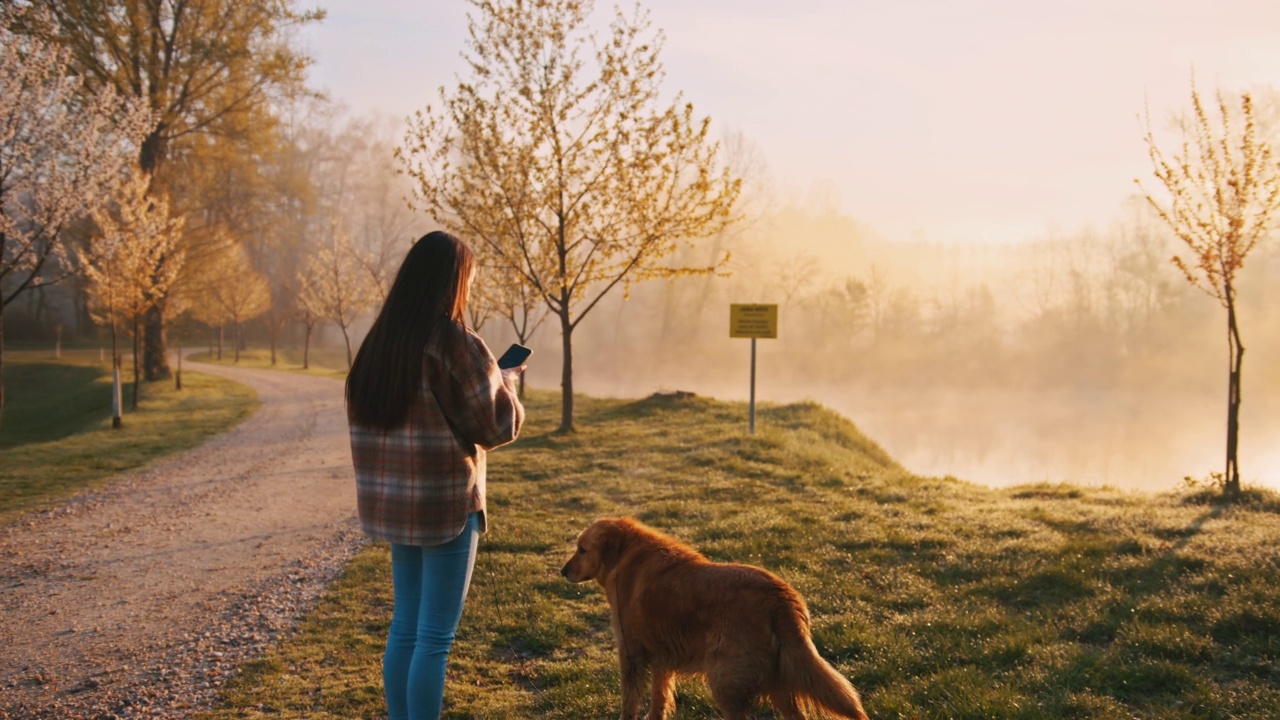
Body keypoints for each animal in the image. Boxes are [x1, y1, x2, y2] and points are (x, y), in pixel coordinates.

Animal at [563, 515, 870, 717]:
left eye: (582, 550)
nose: (562, 571)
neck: (625, 555)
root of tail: (781, 598)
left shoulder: (631, 655)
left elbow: (629, 704)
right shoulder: (661, 660)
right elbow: (658, 701)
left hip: (725, 684)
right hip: (778, 684)